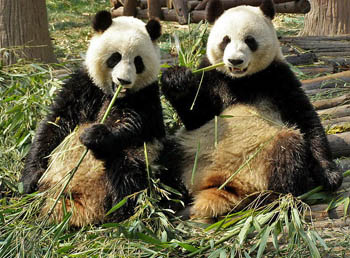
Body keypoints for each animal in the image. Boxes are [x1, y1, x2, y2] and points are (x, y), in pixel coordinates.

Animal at [20, 11, 187, 227]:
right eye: (115, 57)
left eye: (138, 62)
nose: (123, 81)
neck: (114, 94)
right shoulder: (84, 84)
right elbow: (54, 123)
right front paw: (30, 180)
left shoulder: (144, 97)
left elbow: (133, 124)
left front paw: (93, 135)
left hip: (145, 163)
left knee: (128, 172)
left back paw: (123, 212)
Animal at [163, 0, 344, 222]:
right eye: (225, 40)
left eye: (250, 40)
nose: (234, 61)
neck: (241, 81)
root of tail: (223, 183)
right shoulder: (212, 77)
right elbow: (197, 115)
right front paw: (176, 79)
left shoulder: (278, 77)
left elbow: (305, 119)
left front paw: (330, 175)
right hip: (189, 151)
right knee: (163, 160)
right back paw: (163, 199)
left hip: (266, 157)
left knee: (288, 151)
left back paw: (272, 201)